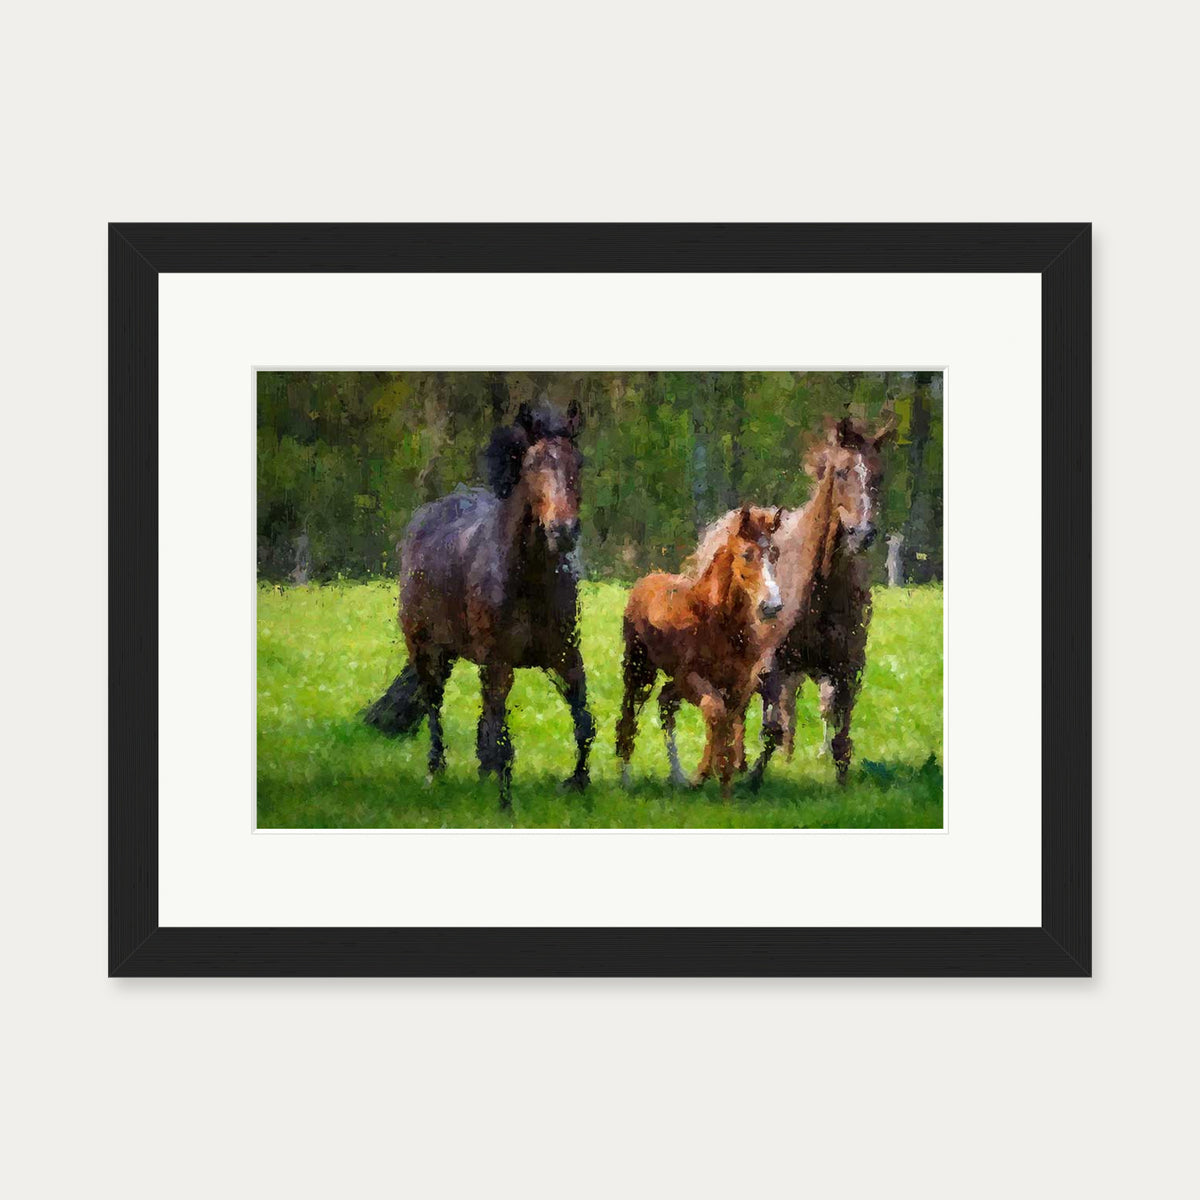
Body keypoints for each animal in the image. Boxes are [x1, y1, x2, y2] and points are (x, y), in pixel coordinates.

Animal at [364, 401, 595, 809]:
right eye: (532, 465)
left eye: (577, 462)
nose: (564, 531)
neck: (527, 580)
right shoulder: (499, 662)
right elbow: (502, 737)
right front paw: (505, 804)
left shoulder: (565, 655)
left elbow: (583, 721)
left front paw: (578, 784)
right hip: (427, 650)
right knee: (434, 704)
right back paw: (436, 770)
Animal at [616, 505, 784, 799]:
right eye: (747, 554)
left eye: (775, 553)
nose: (772, 606)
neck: (718, 621)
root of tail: (647, 580)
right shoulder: (690, 677)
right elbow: (715, 712)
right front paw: (704, 775)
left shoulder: (740, 683)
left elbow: (729, 722)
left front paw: (724, 782)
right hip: (639, 670)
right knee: (630, 715)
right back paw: (627, 780)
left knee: (666, 703)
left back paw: (678, 776)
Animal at [689, 415, 894, 787]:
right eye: (841, 471)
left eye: (879, 473)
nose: (863, 533)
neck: (821, 590)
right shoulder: (772, 665)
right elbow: (770, 727)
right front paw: (753, 779)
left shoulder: (847, 667)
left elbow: (840, 735)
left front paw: (841, 784)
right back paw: (739, 762)